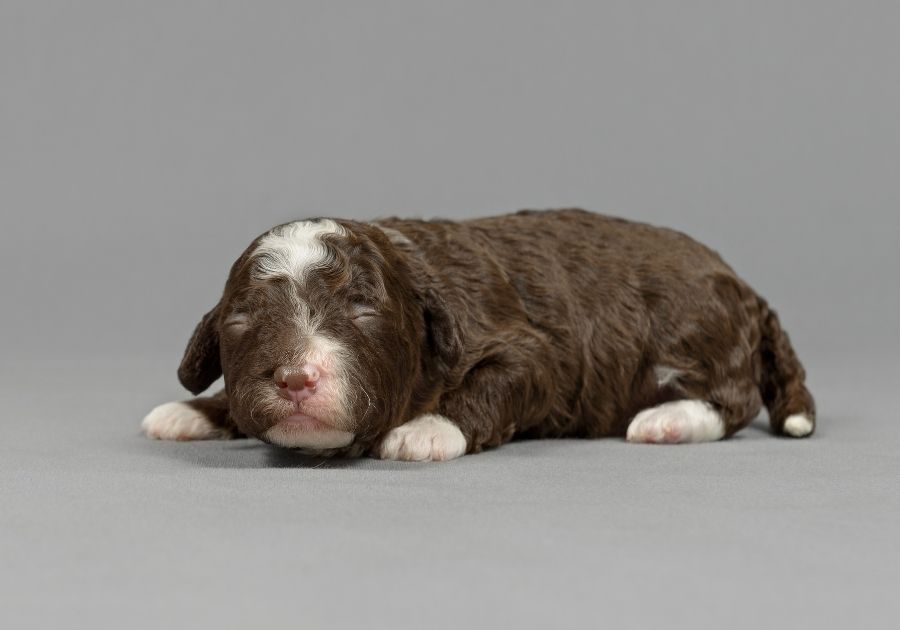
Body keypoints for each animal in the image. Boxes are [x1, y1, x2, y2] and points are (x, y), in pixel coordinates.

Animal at [141, 210, 816, 462]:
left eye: (362, 310)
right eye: (239, 321)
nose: (295, 377)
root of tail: (743, 284)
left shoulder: (534, 352)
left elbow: (496, 384)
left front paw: (426, 429)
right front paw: (194, 411)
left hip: (696, 329)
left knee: (734, 398)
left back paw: (669, 419)